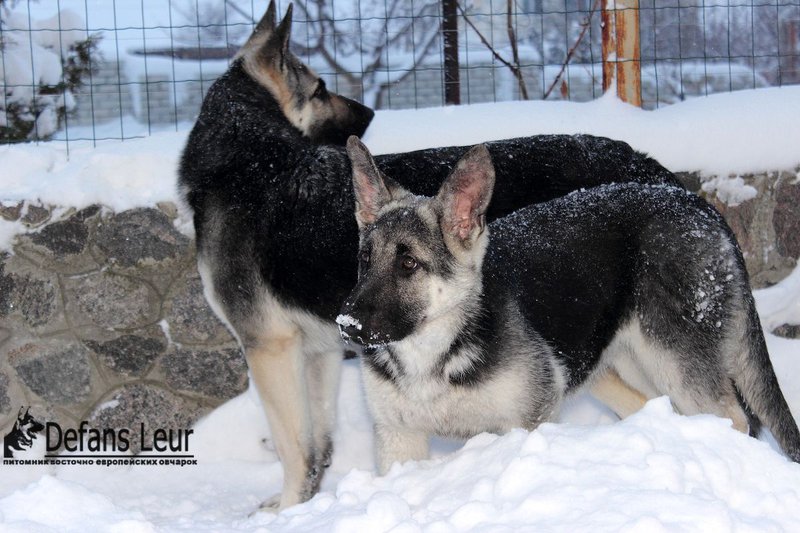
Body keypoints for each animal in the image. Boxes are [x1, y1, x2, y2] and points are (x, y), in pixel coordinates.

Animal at [180, 1, 680, 512]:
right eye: (320, 88)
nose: (369, 112)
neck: (250, 161)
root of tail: (647, 165)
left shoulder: (269, 347)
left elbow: (292, 446)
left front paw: (289, 509)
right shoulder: (316, 351)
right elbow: (317, 442)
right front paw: (307, 500)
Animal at [338, 138, 800, 474]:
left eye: (408, 264)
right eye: (365, 259)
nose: (346, 323)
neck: (436, 352)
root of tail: (695, 202)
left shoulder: (527, 424)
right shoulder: (399, 439)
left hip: (676, 363)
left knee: (734, 418)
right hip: (626, 366)